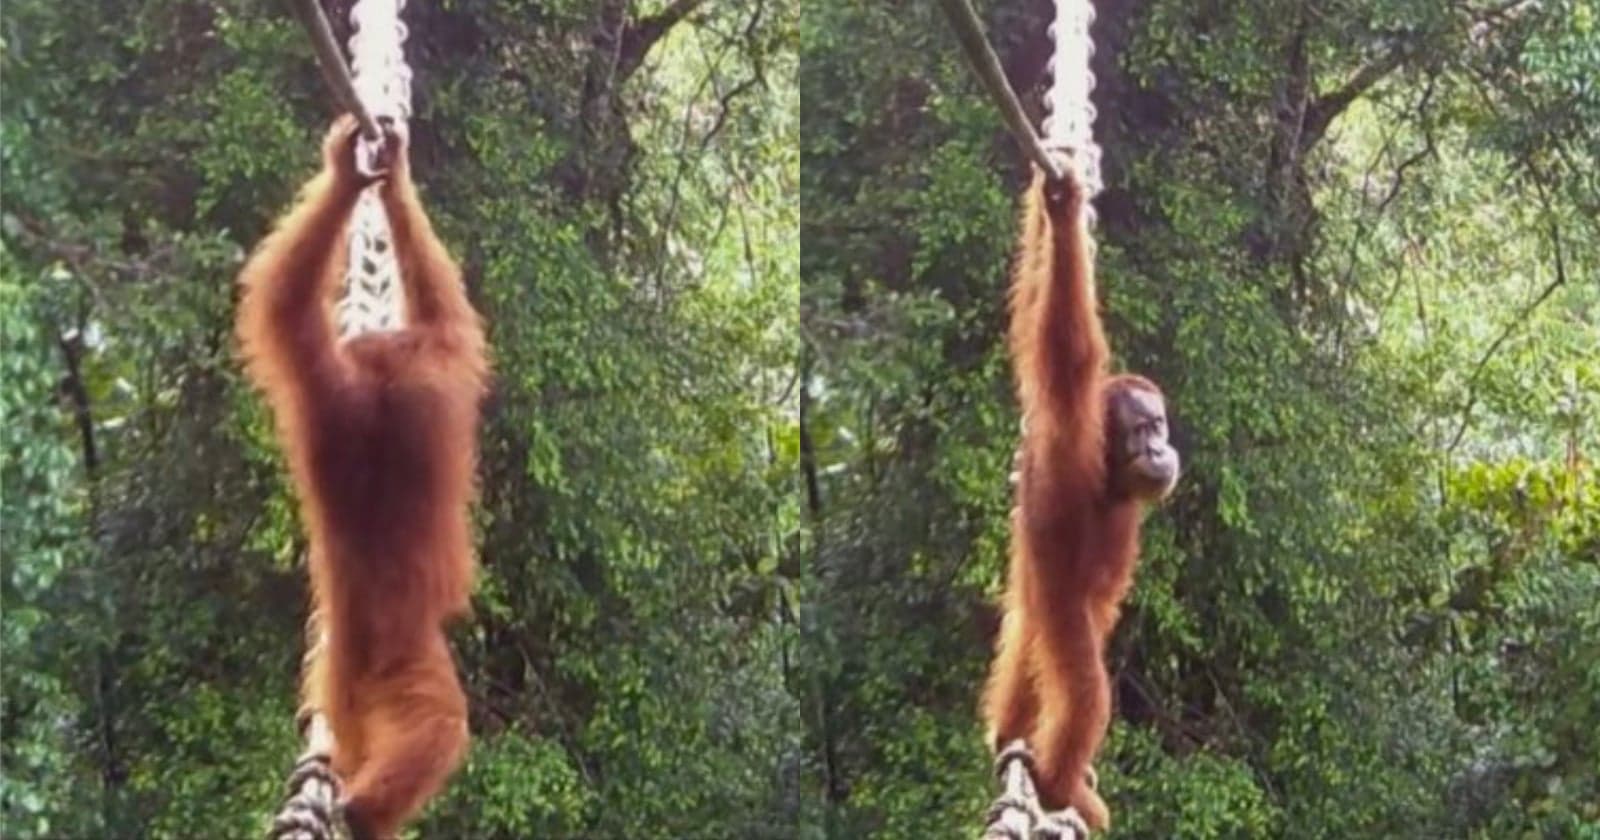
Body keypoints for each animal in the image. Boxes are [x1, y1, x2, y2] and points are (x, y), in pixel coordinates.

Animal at [237, 115, 487, 839]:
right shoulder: (444, 362)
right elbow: (447, 313)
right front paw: (392, 178)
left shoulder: (325, 389)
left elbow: (285, 303)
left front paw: (350, 173)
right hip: (411, 665)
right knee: (440, 728)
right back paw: (367, 811)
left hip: (338, 683)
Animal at [980, 161, 1179, 831]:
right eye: (1142, 431)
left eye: (1160, 427)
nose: (1161, 450)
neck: (1109, 477)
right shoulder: (1071, 424)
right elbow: (1066, 344)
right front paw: (1063, 212)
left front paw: (1050, 212)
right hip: (1057, 609)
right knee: (1085, 689)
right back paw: (1060, 783)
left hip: (1032, 602)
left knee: (1023, 648)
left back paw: (1011, 740)